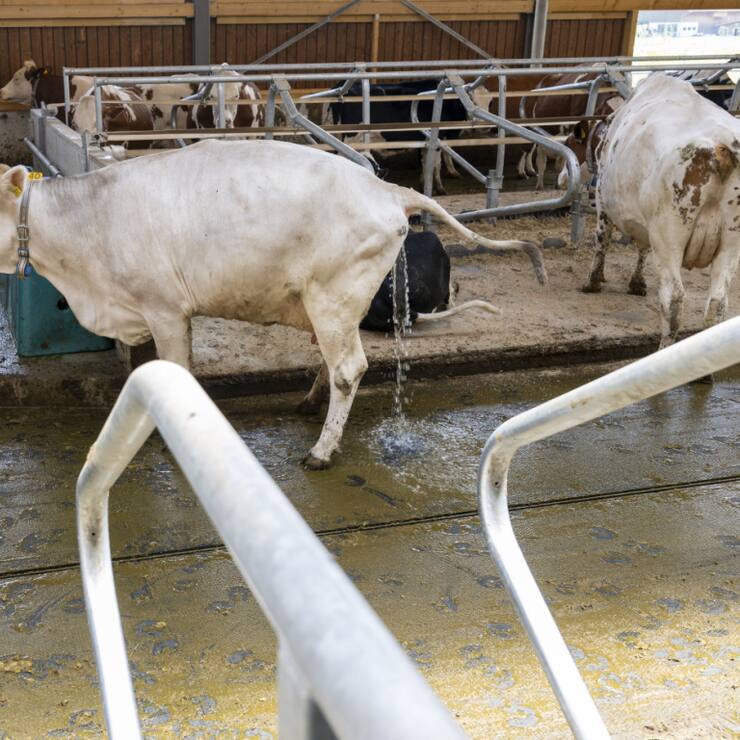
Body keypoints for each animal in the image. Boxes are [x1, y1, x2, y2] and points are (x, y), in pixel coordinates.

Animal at [583, 73, 740, 350]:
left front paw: (594, 280)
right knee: (718, 302)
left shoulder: (602, 198)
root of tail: (720, 147)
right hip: (731, 242)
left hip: (669, 236)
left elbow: (602, 239)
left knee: (673, 298)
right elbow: (642, 248)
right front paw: (636, 283)